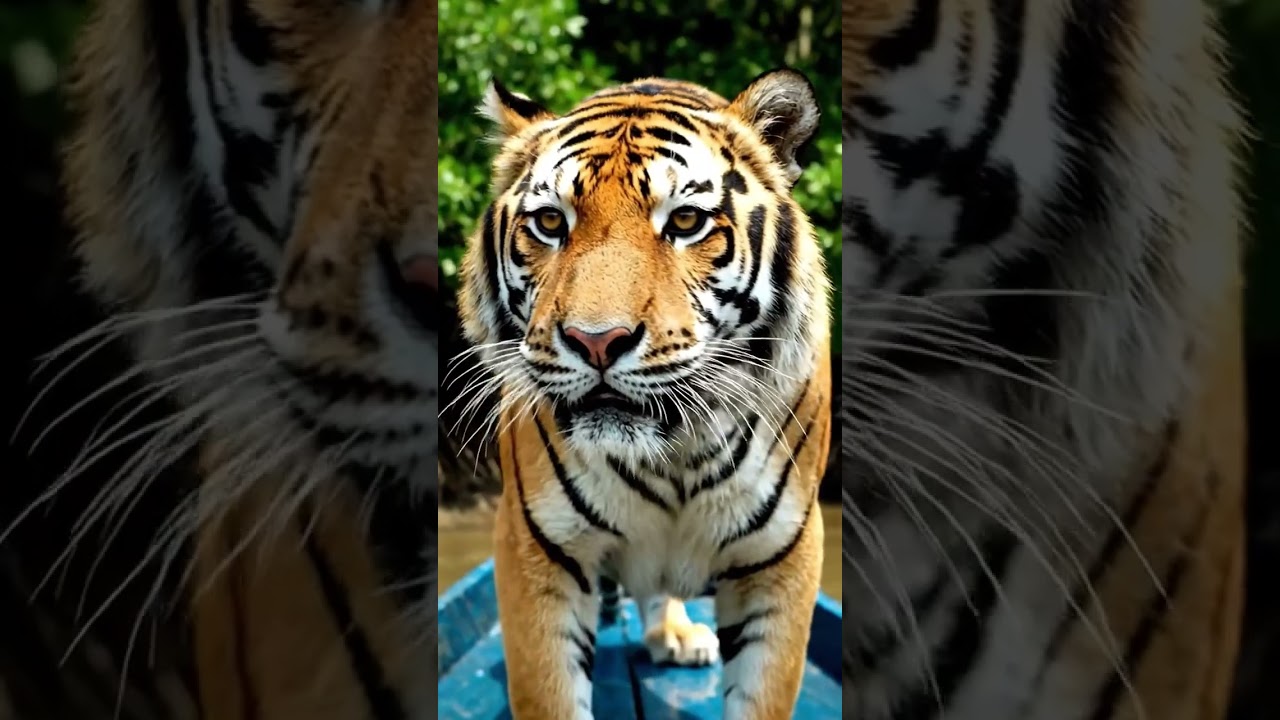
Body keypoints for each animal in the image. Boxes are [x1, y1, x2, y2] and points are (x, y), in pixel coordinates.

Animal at [453, 71, 833, 719]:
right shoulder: (538, 550)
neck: (678, 450)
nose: (596, 340)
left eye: (685, 222)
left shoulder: (783, 556)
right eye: (550, 223)